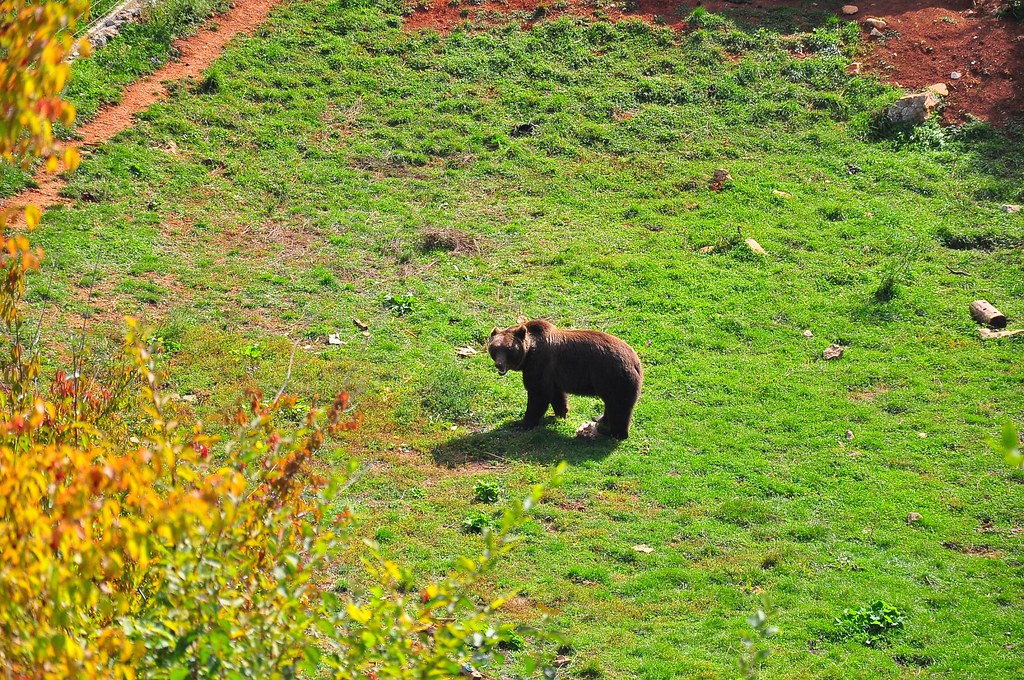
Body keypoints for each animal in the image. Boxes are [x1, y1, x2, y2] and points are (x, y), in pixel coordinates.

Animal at [487, 319, 643, 440]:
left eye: (509, 349)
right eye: (494, 348)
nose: (499, 364)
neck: (529, 352)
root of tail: (636, 362)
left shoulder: (539, 364)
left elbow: (538, 394)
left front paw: (522, 423)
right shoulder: (553, 374)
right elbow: (557, 394)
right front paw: (560, 414)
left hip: (614, 377)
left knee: (619, 406)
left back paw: (614, 433)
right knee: (610, 404)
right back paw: (600, 419)